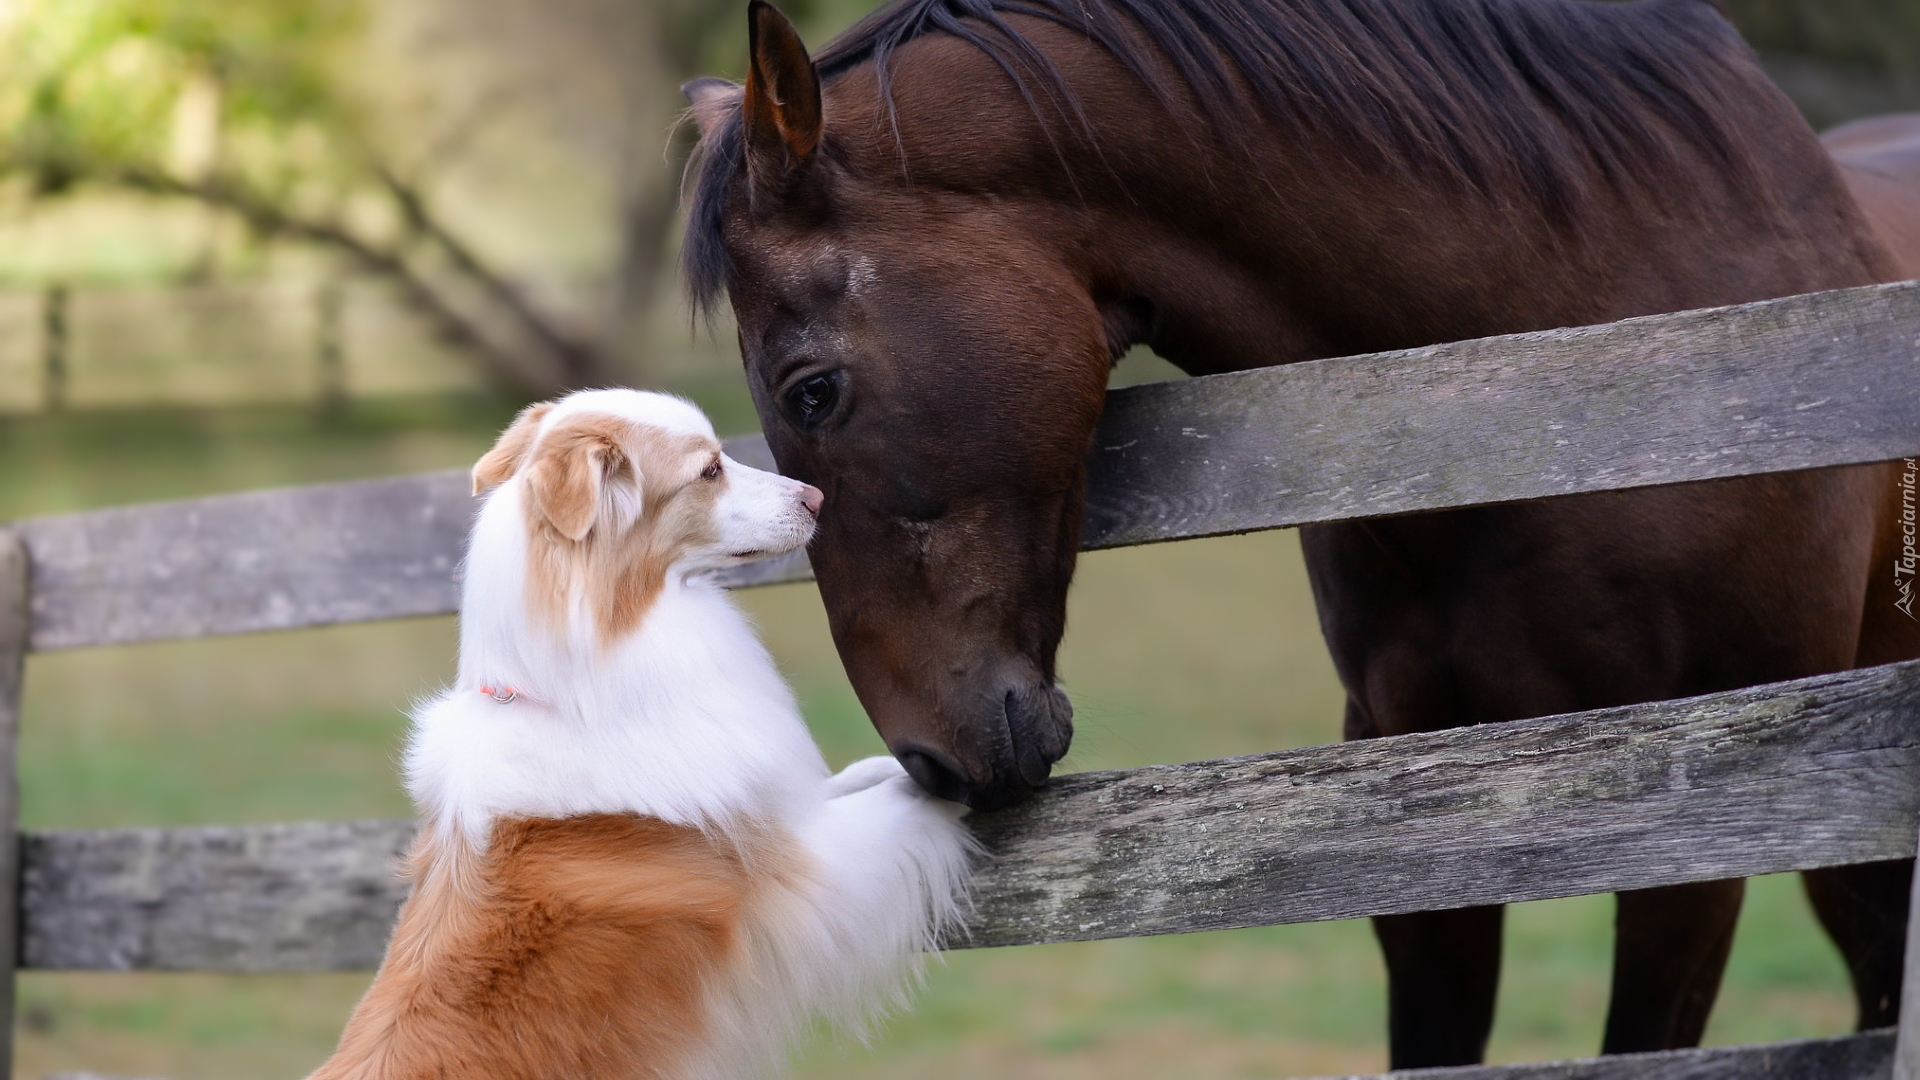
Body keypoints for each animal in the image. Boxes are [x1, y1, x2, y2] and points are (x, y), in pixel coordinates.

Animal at [316, 390, 983, 1076]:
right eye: (709, 470)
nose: (816, 498)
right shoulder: (805, 870)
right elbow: (895, 806)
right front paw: (944, 783)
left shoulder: (764, 804)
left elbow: (844, 781)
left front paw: (887, 764)